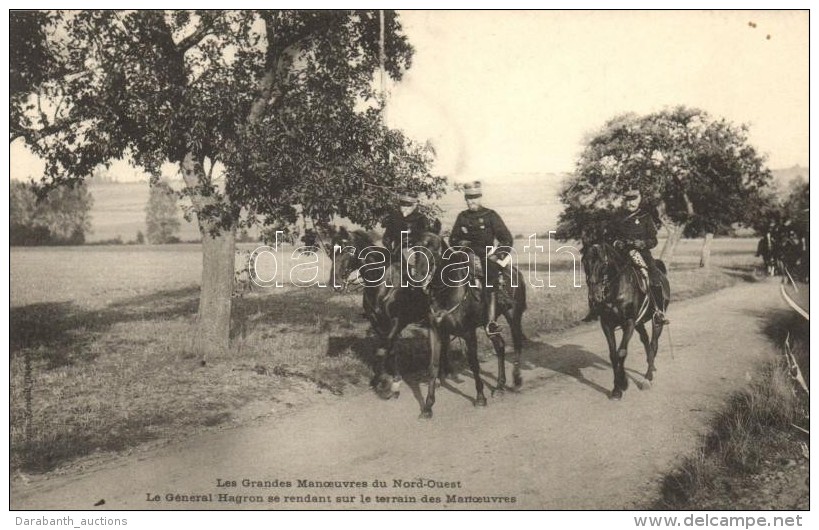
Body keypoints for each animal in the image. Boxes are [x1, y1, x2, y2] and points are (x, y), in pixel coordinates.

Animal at [330, 227, 436, 396]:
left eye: (348, 249)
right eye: (330, 251)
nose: (336, 283)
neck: (383, 283)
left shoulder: (396, 322)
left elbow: (382, 350)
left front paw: (384, 382)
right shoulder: (377, 322)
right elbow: (389, 349)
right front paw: (394, 377)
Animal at [420, 234, 528, 416]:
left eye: (434, 248)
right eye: (413, 247)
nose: (419, 273)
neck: (448, 292)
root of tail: (515, 272)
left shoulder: (468, 333)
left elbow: (474, 364)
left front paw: (480, 398)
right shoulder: (435, 332)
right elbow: (432, 366)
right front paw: (428, 406)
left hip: (513, 316)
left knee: (517, 344)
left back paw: (517, 380)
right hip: (488, 325)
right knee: (500, 346)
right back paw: (499, 386)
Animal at [580, 241, 668, 398]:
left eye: (603, 263)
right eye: (584, 261)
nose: (594, 295)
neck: (617, 290)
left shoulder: (629, 322)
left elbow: (621, 352)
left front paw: (623, 382)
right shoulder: (607, 324)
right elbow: (613, 354)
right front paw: (616, 389)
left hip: (656, 322)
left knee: (654, 344)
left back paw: (648, 377)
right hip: (639, 323)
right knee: (646, 341)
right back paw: (650, 366)